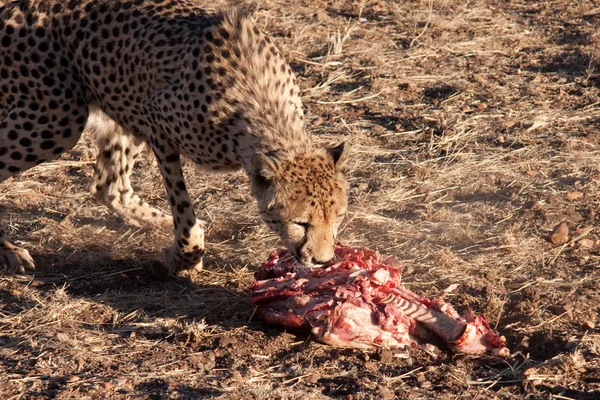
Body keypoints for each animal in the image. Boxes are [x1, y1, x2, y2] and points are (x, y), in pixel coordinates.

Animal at [0, 0, 346, 274]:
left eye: (338, 217)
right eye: (301, 223)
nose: (323, 261)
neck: (265, 109)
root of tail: (15, 6)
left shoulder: (141, 113)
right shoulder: (154, 120)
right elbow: (183, 206)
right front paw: (185, 257)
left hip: (117, 104)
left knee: (109, 186)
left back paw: (162, 222)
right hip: (56, 119)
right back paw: (10, 252)